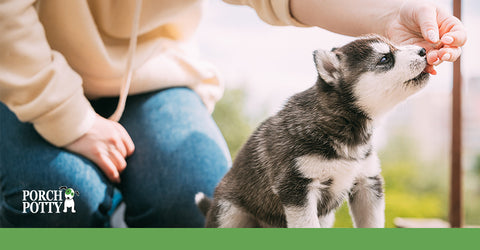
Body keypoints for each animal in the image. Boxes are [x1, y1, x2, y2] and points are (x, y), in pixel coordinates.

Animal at [197, 35, 430, 229]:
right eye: (384, 59)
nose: (423, 50)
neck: (343, 125)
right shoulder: (297, 187)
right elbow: (307, 224)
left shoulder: (367, 181)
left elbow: (372, 222)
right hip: (230, 212)